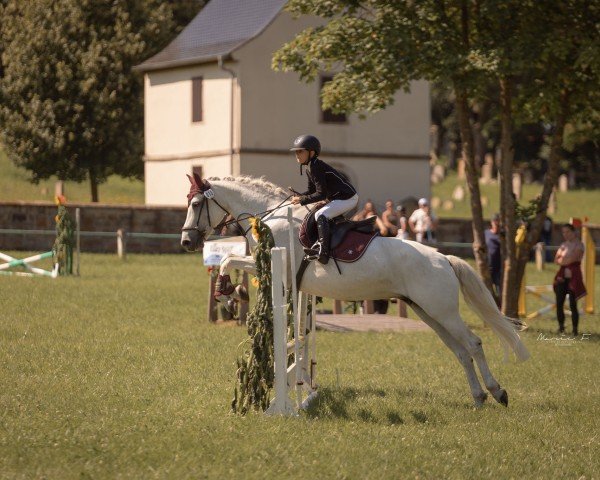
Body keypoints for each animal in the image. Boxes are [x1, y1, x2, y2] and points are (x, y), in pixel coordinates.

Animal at [182, 174, 528, 406]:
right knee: (459, 351)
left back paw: (498, 391)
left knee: (473, 344)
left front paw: (228, 293)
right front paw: (232, 294)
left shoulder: (271, 264)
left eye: (196, 203)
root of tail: (444, 258)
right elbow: (229, 260)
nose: (186, 241)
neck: (271, 216)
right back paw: (478, 396)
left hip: (442, 311)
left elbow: (228, 259)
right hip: (428, 312)